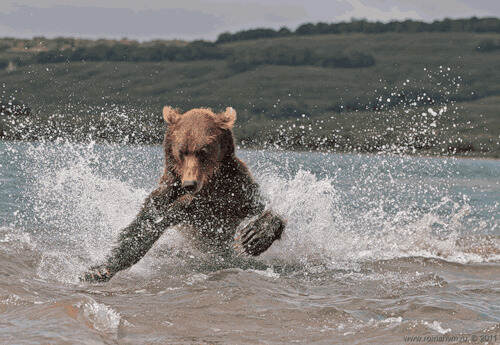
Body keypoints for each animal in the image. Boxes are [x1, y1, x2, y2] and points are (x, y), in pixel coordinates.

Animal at [82, 106, 286, 280]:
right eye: (182, 151)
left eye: (203, 151)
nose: (189, 184)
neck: (210, 187)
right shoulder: (166, 194)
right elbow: (141, 229)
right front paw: (98, 270)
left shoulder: (238, 190)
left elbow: (265, 209)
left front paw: (253, 237)